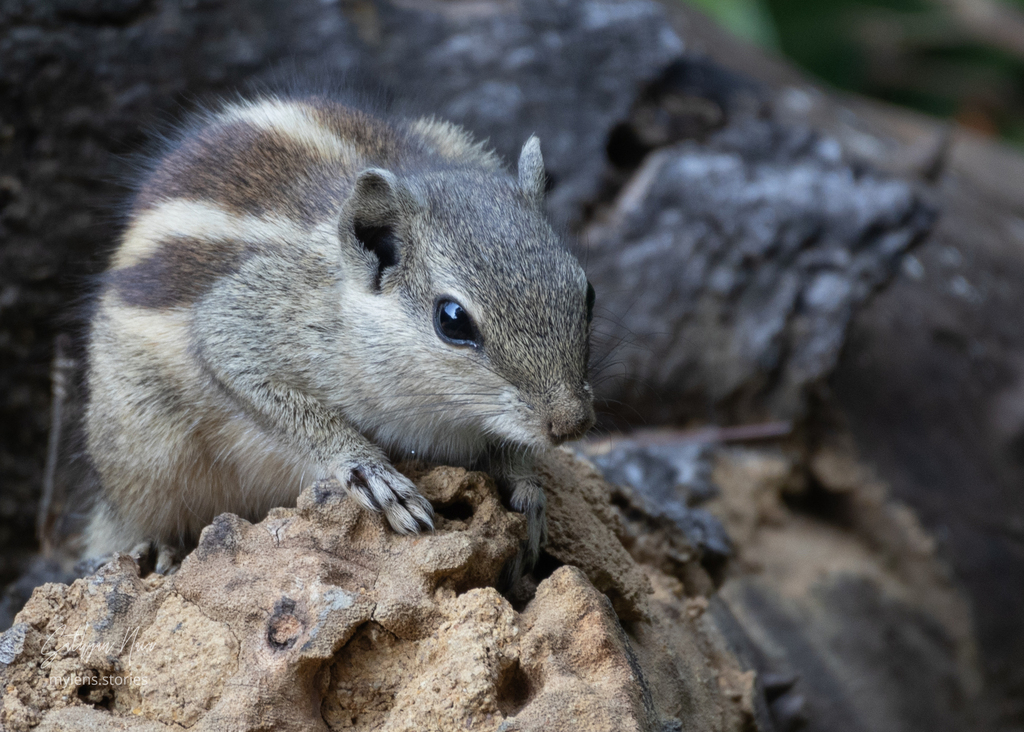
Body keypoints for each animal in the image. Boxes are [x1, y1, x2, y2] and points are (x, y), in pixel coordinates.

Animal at [83, 94, 596, 578]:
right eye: (452, 320)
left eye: (588, 291)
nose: (571, 423)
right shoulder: (236, 330)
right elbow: (286, 406)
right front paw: (370, 472)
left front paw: (529, 493)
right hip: (147, 449)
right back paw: (156, 549)